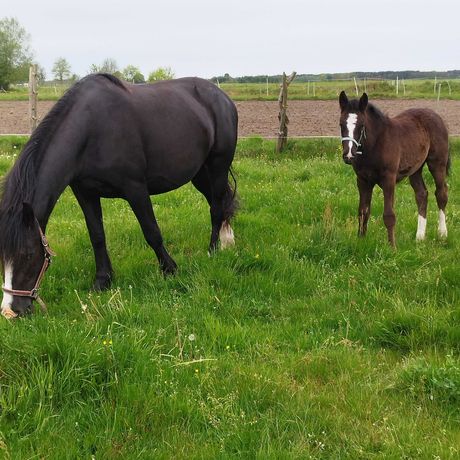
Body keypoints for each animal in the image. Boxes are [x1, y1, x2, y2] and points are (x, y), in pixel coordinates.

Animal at [0, 73, 237, 318]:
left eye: (28, 254)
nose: (10, 312)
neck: (90, 129)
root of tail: (222, 96)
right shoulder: (85, 193)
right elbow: (97, 236)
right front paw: (103, 280)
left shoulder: (135, 188)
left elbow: (152, 232)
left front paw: (169, 269)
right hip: (200, 174)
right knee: (220, 202)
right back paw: (227, 240)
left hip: (217, 166)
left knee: (217, 207)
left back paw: (213, 250)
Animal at [338, 90, 450, 248]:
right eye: (341, 124)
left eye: (361, 125)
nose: (348, 155)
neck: (375, 144)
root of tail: (436, 115)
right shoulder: (362, 180)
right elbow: (363, 211)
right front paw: (361, 240)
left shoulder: (388, 179)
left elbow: (389, 215)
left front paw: (392, 247)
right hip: (415, 168)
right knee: (422, 194)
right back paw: (420, 237)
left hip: (437, 163)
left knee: (441, 193)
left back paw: (442, 233)